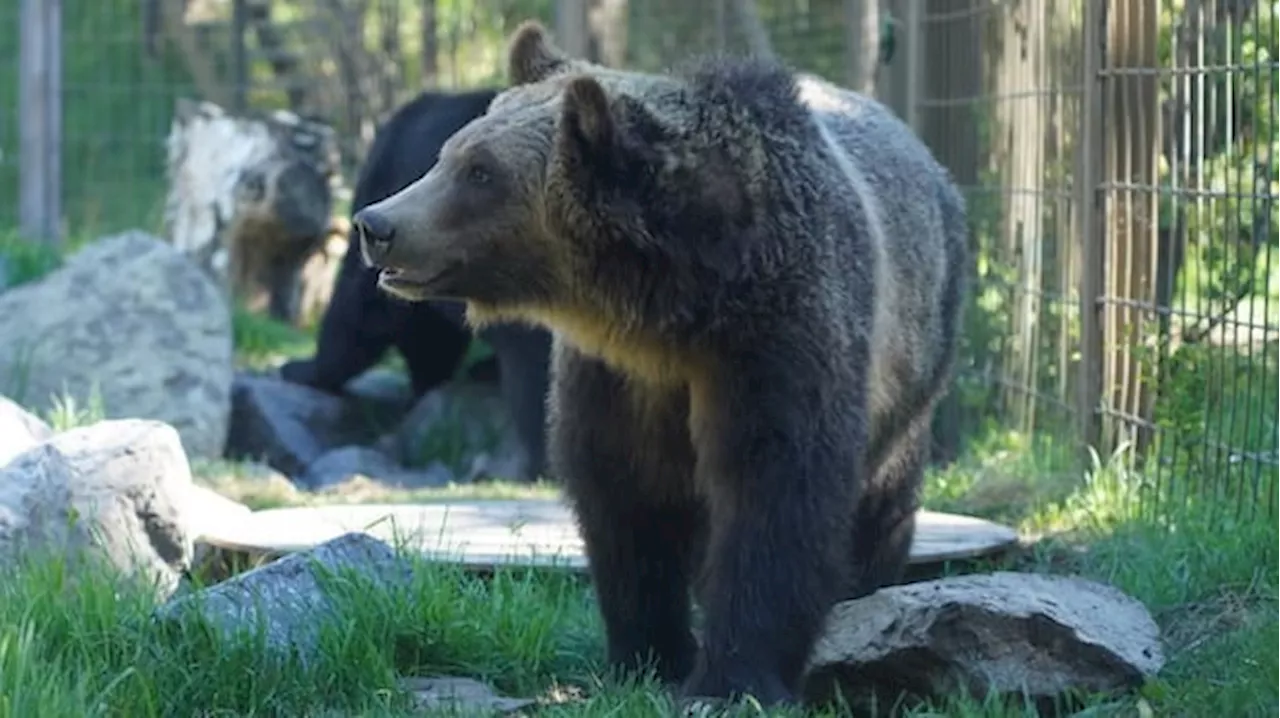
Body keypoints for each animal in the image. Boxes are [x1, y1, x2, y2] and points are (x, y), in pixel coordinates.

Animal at [349, 22, 970, 707]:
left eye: (480, 171)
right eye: (449, 153)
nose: (376, 223)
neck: (679, 310)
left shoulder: (780, 336)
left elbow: (775, 491)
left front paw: (731, 678)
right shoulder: (618, 375)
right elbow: (625, 497)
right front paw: (647, 656)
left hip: (916, 357)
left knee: (882, 498)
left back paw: (870, 592)